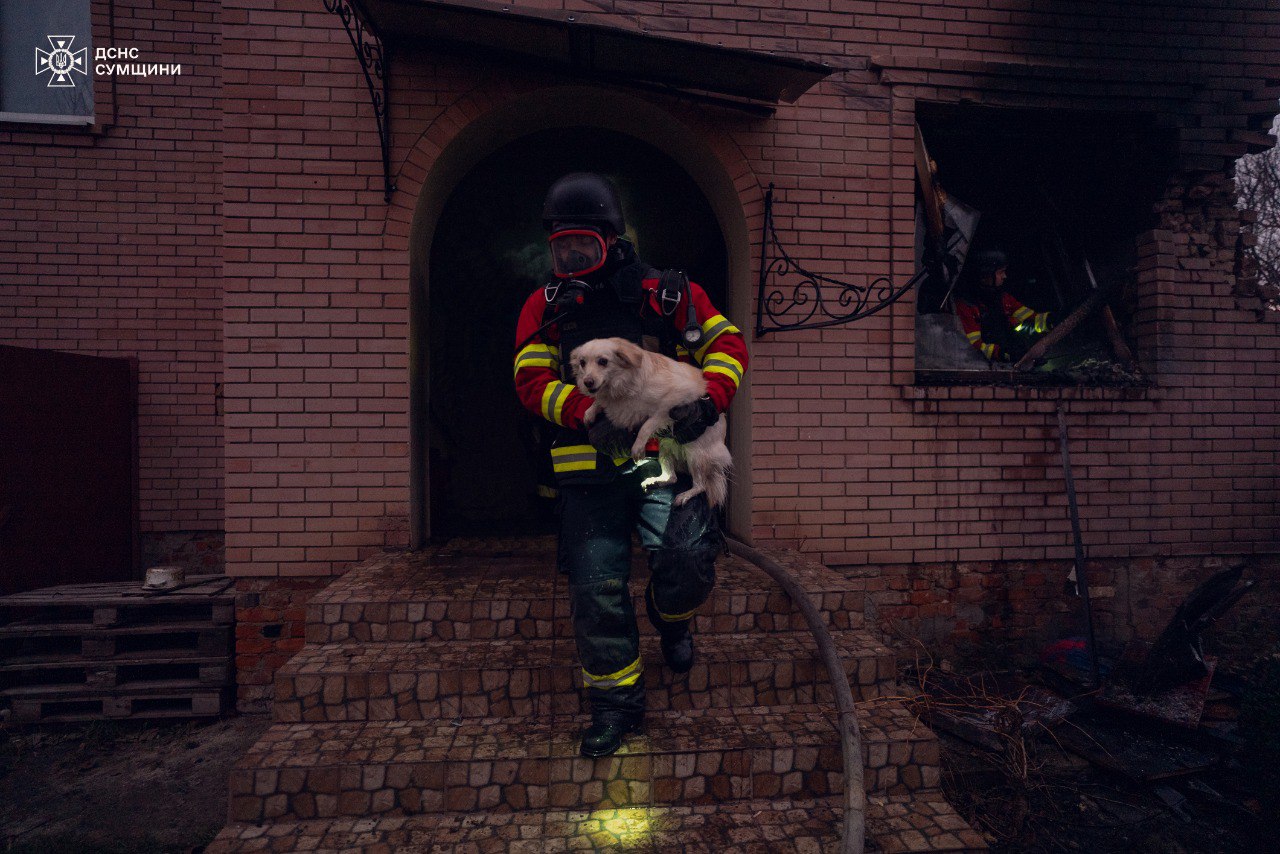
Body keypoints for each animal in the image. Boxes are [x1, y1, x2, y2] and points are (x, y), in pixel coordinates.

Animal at [570, 338, 732, 507]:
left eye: (603, 361)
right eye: (582, 363)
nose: (587, 382)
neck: (623, 386)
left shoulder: (670, 404)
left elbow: (647, 425)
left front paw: (638, 447)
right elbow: (599, 402)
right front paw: (589, 412)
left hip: (695, 456)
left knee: (701, 485)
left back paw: (685, 495)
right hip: (665, 450)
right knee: (672, 478)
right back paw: (657, 481)